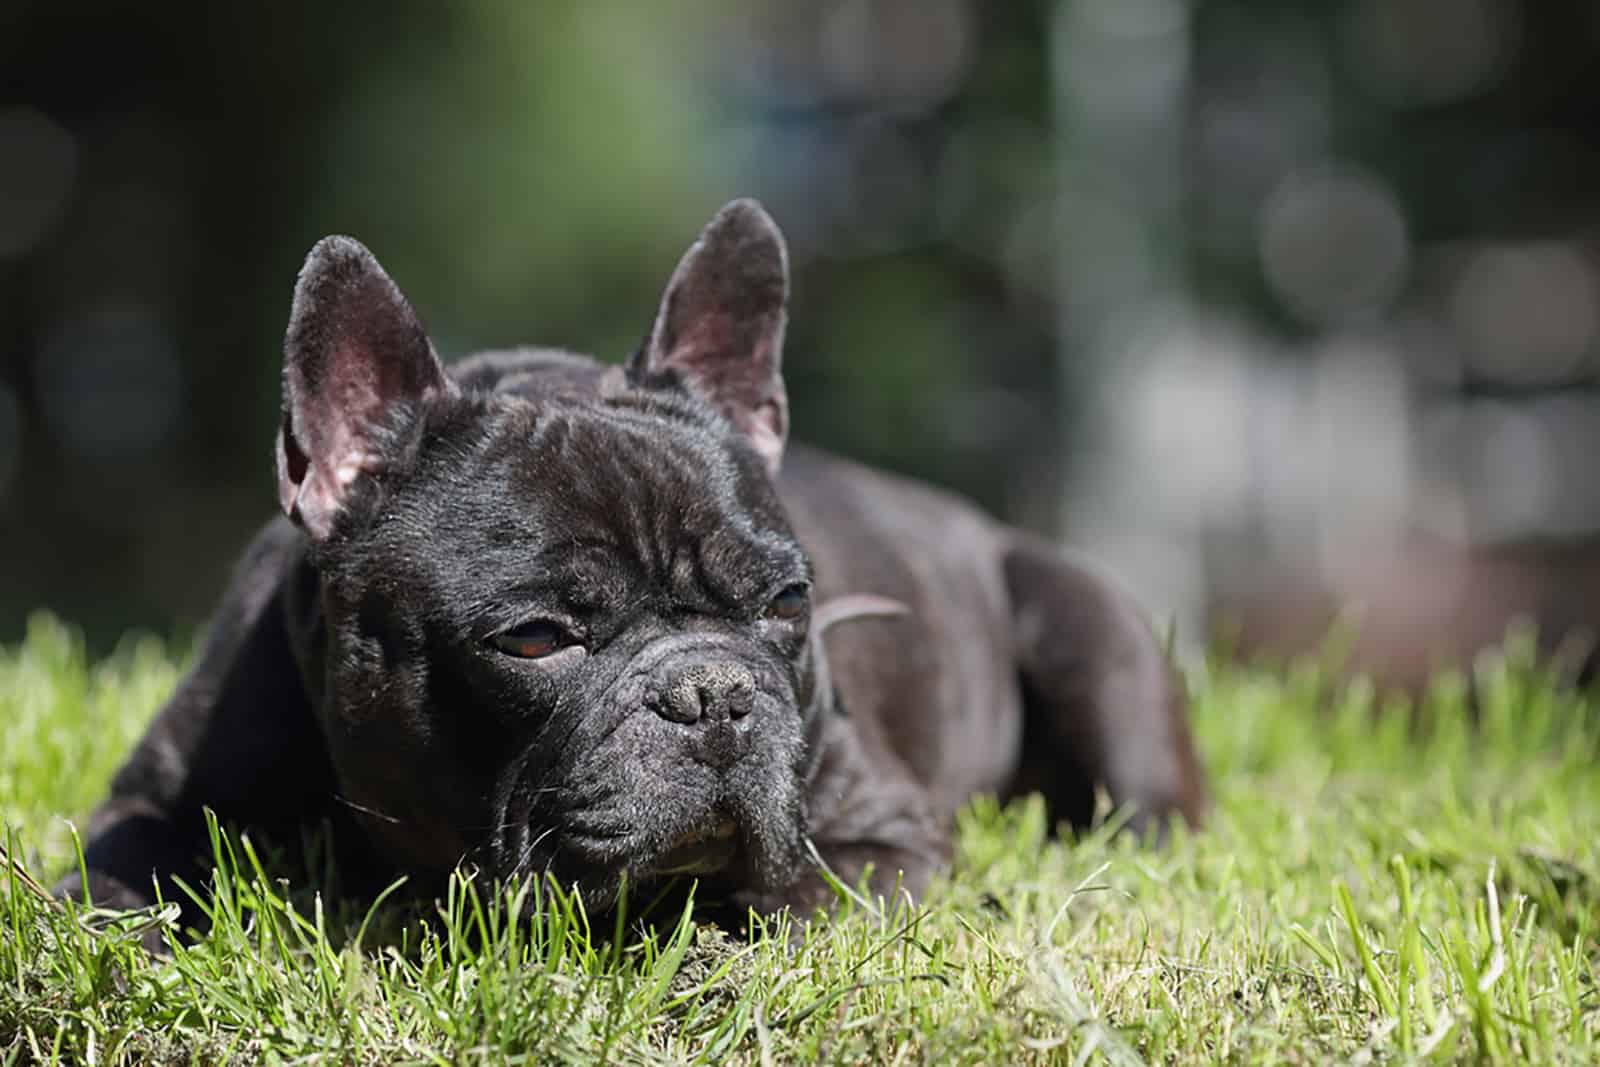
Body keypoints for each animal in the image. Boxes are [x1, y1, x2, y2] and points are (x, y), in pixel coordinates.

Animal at [59, 198, 1209, 927]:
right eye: (533, 639)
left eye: (789, 602)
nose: (711, 691)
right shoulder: (154, 798)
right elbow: (114, 877)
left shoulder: (885, 833)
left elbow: (791, 903)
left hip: (1087, 632)